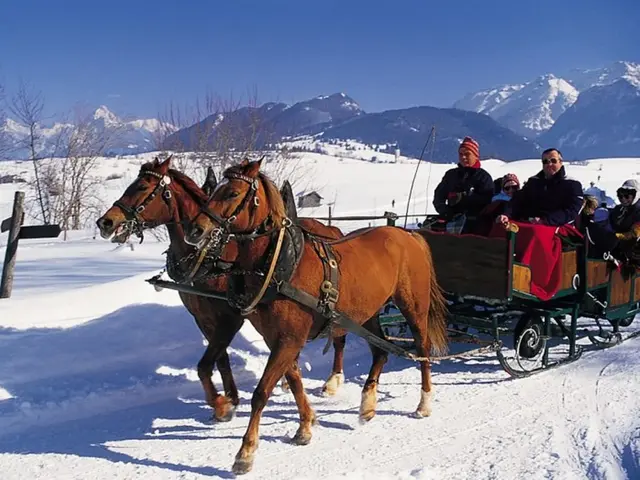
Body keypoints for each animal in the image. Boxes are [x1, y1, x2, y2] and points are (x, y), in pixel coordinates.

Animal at [94, 156, 350, 422]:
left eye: (142, 187)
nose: (105, 222)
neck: (212, 254)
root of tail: (331, 229)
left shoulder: (230, 316)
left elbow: (208, 362)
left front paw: (221, 404)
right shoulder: (203, 317)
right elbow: (220, 358)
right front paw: (229, 399)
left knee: (339, 337)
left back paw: (333, 380)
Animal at [182, 158, 448, 476]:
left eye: (233, 193)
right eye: (213, 190)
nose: (195, 230)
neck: (282, 265)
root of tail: (408, 234)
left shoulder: (289, 339)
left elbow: (262, 392)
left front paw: (245, 453)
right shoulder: (277, 339)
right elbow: (294, 379)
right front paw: (305, 426)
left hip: (413, 306)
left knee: (422, 349)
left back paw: (424, 403)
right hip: (366, 313)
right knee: (380, 352)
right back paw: (368, 405)